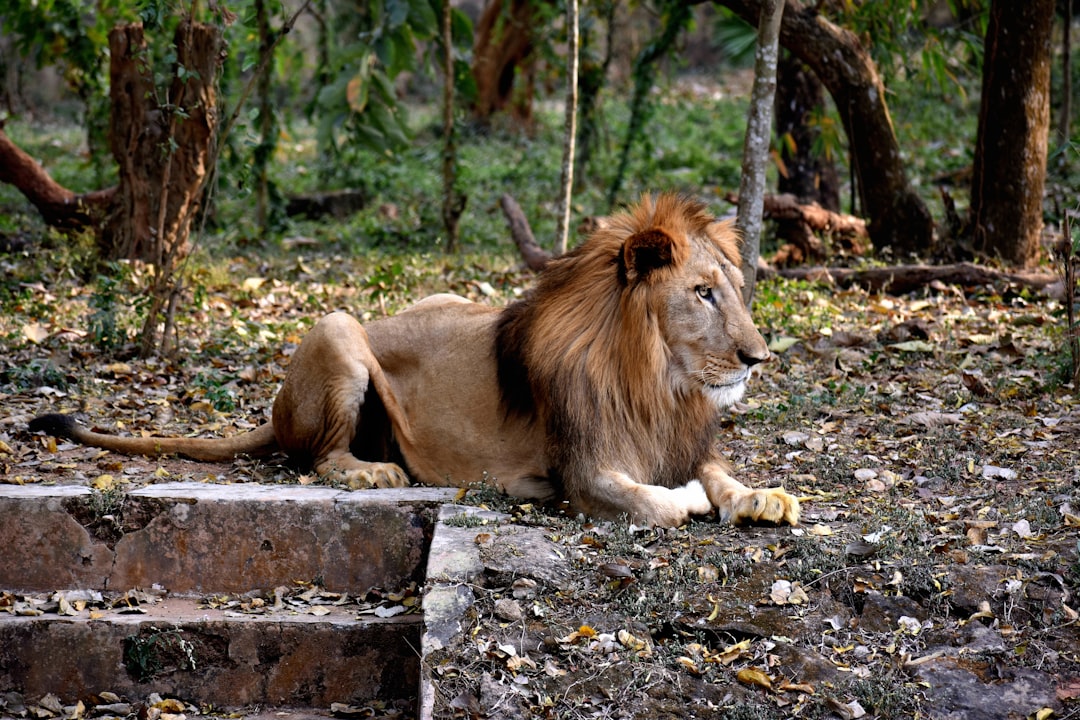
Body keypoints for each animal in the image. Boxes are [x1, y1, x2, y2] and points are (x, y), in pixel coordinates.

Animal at [29, 194, 799, 526]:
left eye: (733, 290)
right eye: (702, 294)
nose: (759, 357)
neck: (657, 381)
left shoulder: (677, 436)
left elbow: (718, 473)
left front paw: (763, 496)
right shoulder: (582, 469)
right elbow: (658, 502)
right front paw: (690, 498)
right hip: (338, 328)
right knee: (315, 457)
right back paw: (371, 472)